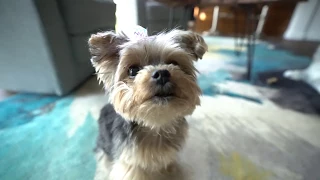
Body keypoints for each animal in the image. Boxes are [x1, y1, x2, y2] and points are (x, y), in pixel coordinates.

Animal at [87, 28, 208, 180]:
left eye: (175, 64)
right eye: (133, 70)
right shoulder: (130, 166)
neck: (154, 125)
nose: (162, 73)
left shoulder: (170, 161)